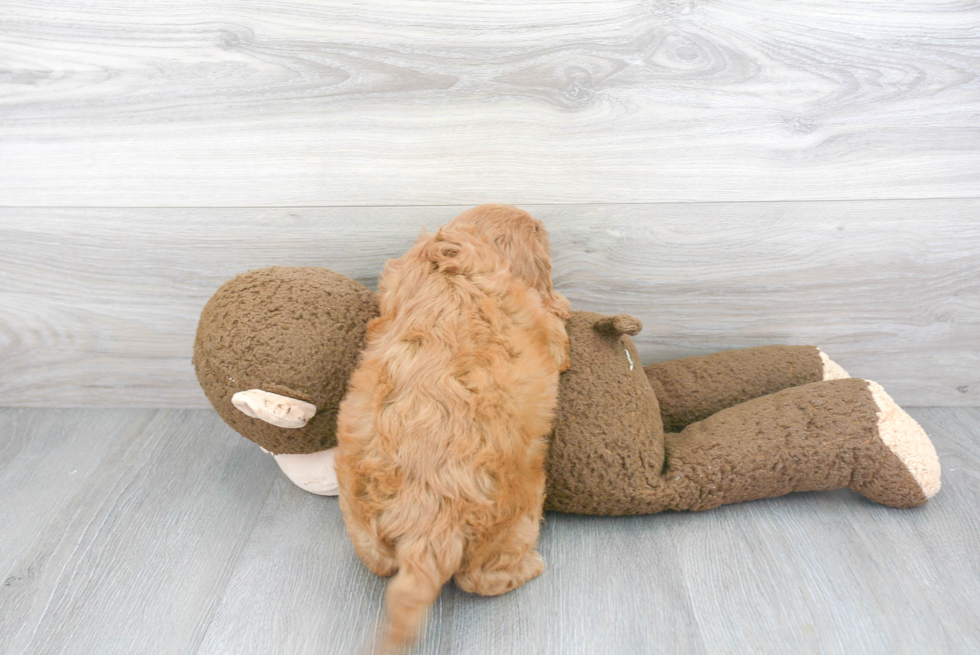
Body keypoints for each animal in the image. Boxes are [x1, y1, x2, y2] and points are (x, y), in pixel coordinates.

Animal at [336, 205, 572, 652]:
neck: (449, 259)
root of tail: (428, 524)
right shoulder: (541, 321)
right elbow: (557, 332)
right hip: (515, 522)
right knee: (482, 578)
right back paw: (531, 566)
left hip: (360, 517)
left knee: (377, 562)